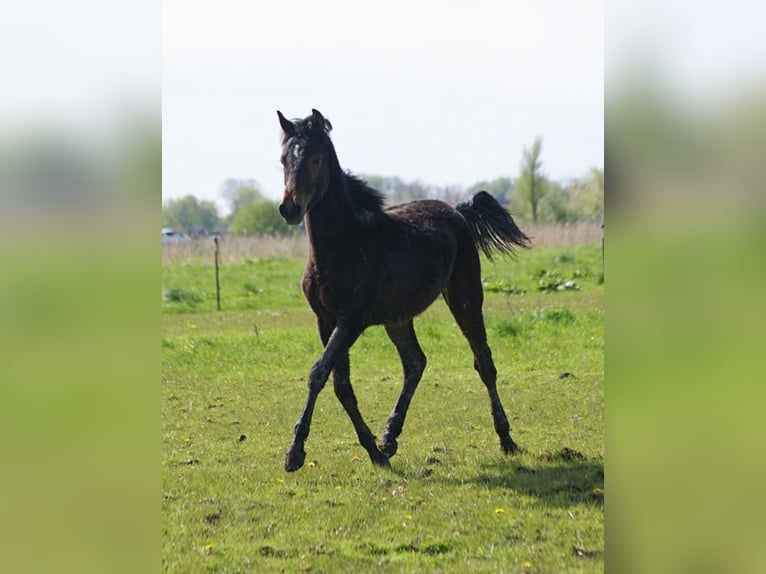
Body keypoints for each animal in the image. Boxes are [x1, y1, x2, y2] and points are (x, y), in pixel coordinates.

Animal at [278, 108, 536, 472]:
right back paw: (389, 439)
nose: (289, 208)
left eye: (315, 159)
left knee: (483, 362)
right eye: (283, 159)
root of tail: (457, 211)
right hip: (397, 318)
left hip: (466, 297)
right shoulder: (325, 320)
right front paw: (374, 451)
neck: (345, 243)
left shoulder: (351, 321)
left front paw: (295, 452)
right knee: (416, 363)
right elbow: (341, 383)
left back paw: (507, 440)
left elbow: (318, 373)